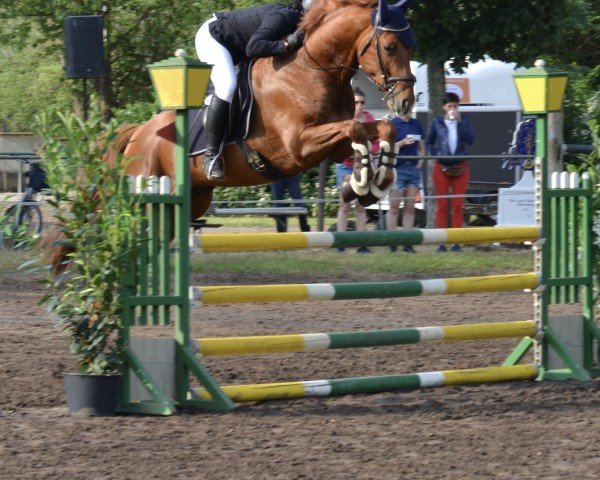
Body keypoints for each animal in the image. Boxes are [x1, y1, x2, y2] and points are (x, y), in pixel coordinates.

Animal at [119, 0, 414, 219]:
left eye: (411, 46)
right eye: (389, 47)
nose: (406, 102)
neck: (314, 69)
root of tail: (138, 134)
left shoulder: (337, 146)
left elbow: (381, 128)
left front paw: (376, 183)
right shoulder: (298, 145)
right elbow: (354, 127)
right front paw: (362, 181)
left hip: (195, 198)